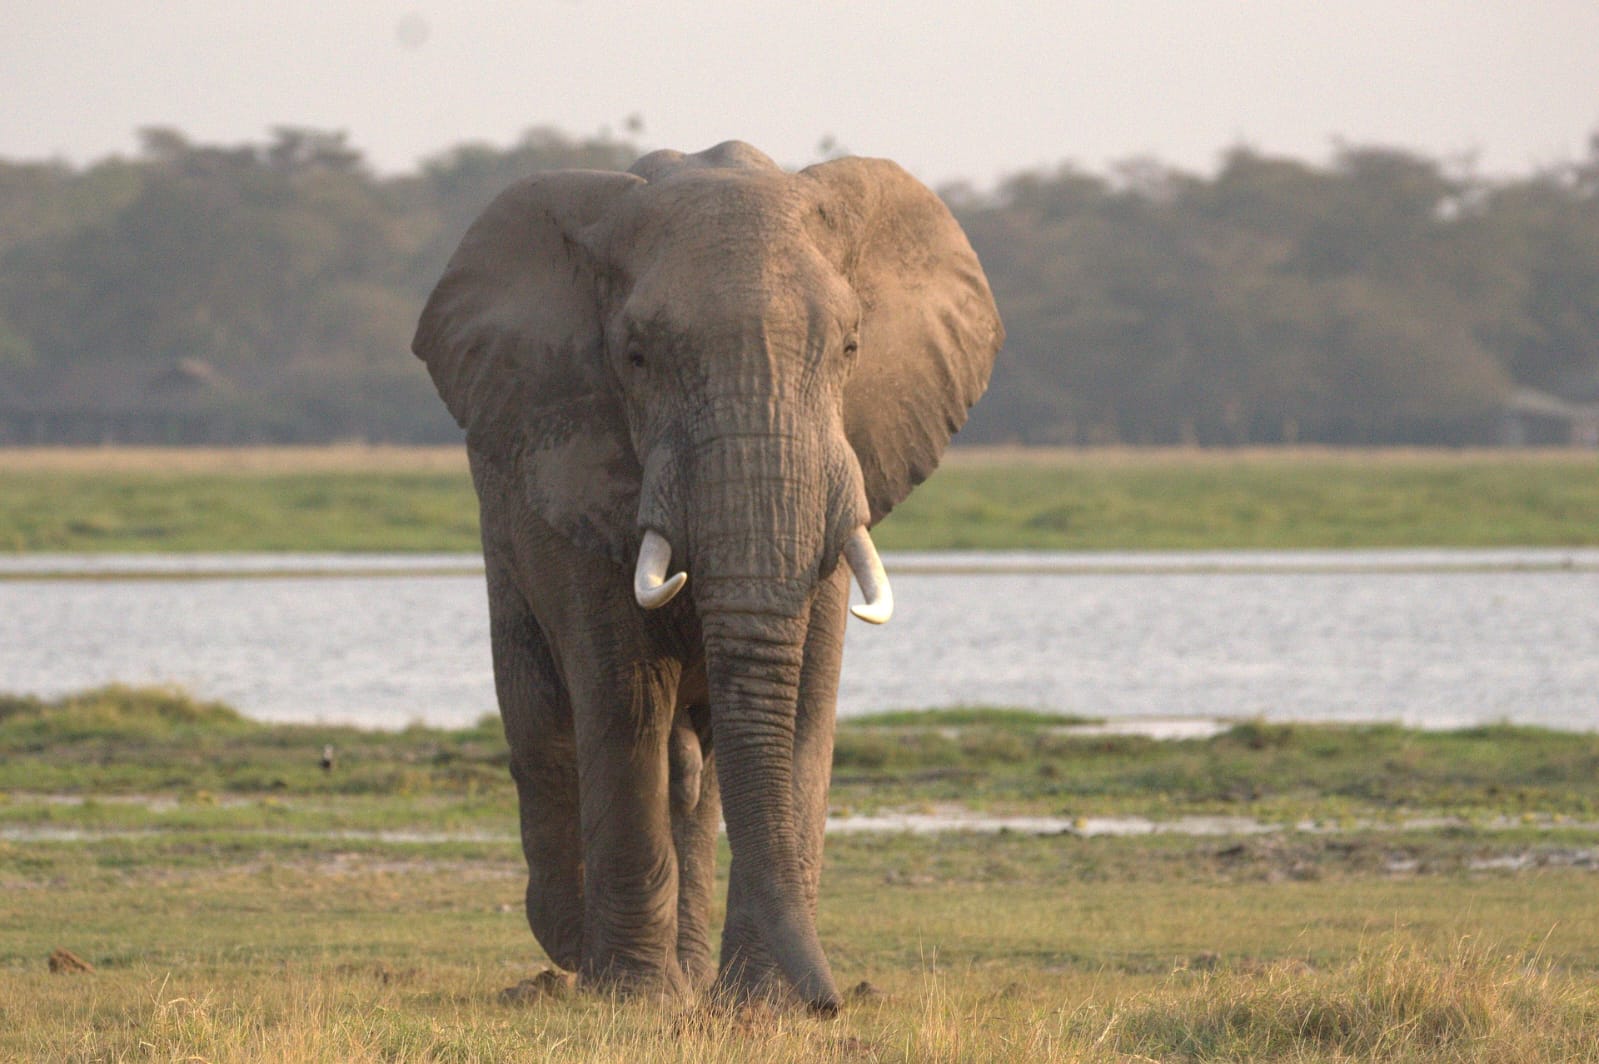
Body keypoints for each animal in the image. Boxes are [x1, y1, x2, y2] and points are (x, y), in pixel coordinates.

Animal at [412, 141, 1002, 1013]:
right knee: (548, 723)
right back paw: (576, 950)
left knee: (693, 770)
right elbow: (622, 697)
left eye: (850, 349)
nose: (835, 1001)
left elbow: (803, 701)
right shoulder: (578, 466)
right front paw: (633, 998)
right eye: (636, 358)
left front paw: (762, 1004)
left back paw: (683, 972)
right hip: (502, 519)